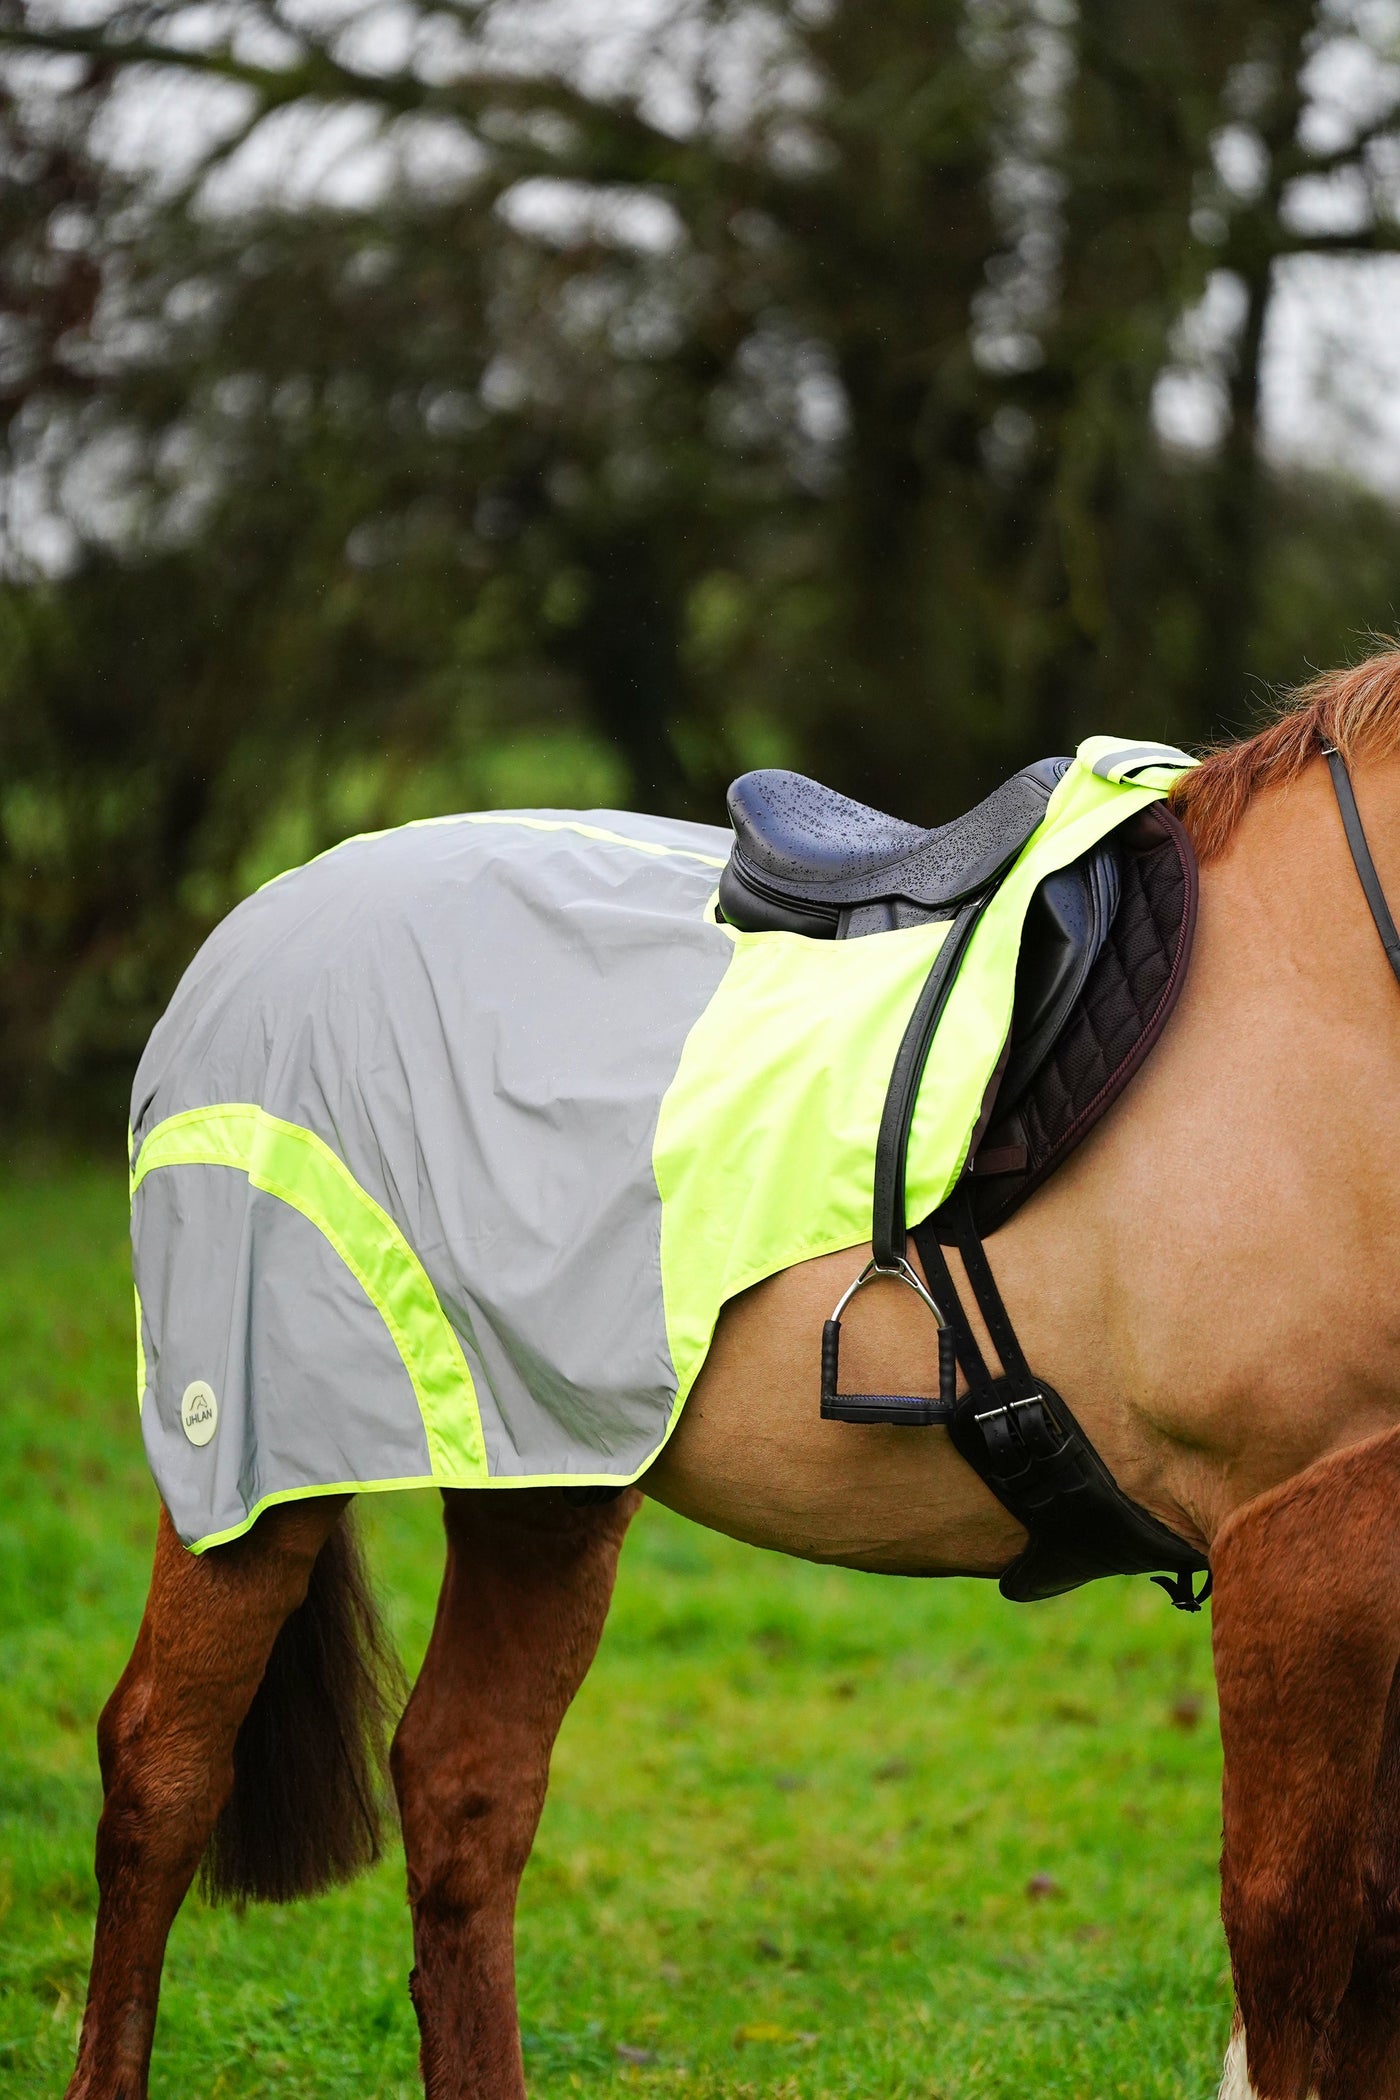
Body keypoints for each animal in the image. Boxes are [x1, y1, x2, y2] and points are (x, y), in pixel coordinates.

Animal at [62, 646, 1400, 2091]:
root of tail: (260, 921)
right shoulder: (1298, 1530)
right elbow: (1297, 1931)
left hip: (543, 1470)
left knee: (466, 1785)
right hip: (253, 1460)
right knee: (162, 1768)